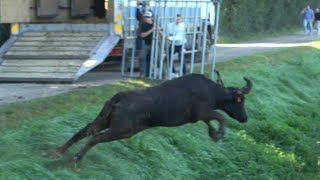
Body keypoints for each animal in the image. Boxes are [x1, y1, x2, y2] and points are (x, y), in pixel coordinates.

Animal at [53, 73, 252, 162]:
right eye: (240, 101)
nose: (245, 118)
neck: (215, 94)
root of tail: (119, 97)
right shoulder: (202, 112)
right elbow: (221, 117)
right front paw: (218, 135)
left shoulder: (201, 116)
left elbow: (213, 121)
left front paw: (213, 134)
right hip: (123, 130)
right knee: (95, 138)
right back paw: (75, 159)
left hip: (104, 120)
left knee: (84, 130)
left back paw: (58, 151)